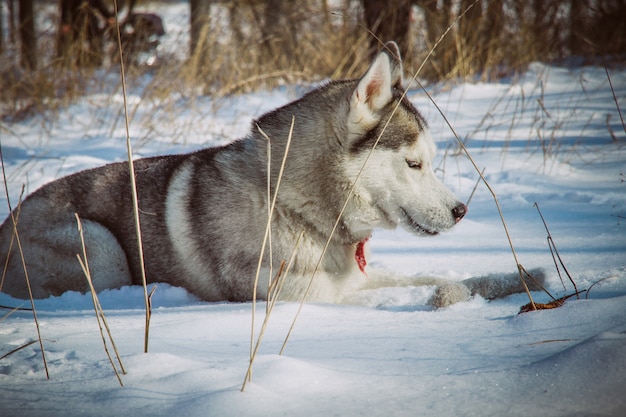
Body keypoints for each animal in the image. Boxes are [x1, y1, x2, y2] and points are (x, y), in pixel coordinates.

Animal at [0, 43, 536, 306]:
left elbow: (429, 275)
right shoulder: (300, 294)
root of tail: (5, 222)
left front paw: (517, 279)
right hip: (100, 248)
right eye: (413, 164)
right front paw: (449, 298)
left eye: (430, 160)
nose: (461, 210)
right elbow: (406, 292)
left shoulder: (349, 276)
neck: (292, 205)